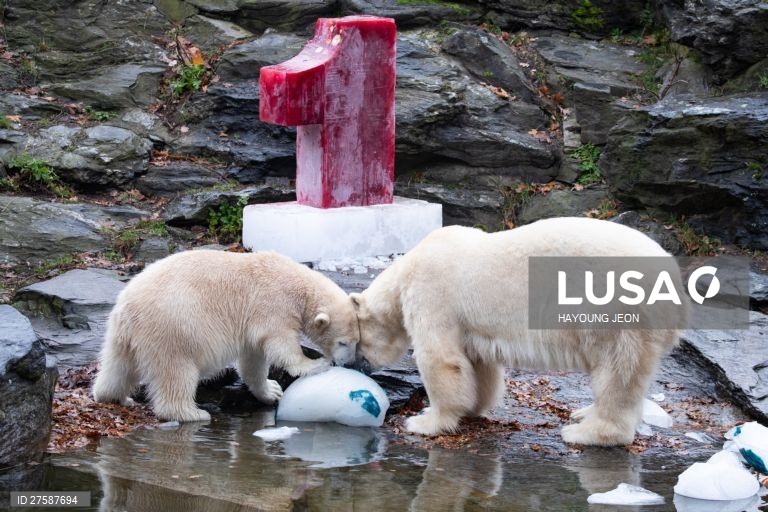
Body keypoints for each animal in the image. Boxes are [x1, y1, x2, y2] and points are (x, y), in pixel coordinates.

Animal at [92, 250, 359, 422]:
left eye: (357, 342)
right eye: (342, 342)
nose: (349, 363)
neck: (299, 284)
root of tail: (127, 307)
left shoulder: (251, 324)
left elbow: (253, 359)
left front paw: (271, 390)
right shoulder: (272, 304)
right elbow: (279, 343)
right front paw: (314, 364)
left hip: (122, 335)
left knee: (118, 367)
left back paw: (115, 396)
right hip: (173, 327)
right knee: (177, 372)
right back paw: (193, 414)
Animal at [350, 217, 690, 446]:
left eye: (356, 342)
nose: (359, 367)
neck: (406, 269)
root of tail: (674, 280)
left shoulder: (433, 292)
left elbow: (440, 359)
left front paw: (425, 421)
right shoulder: (471, 323)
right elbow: (477, 363)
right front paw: (473, 406)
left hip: (616, 309)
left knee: (618, 370)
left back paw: (587, 431)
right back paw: (584, 414)